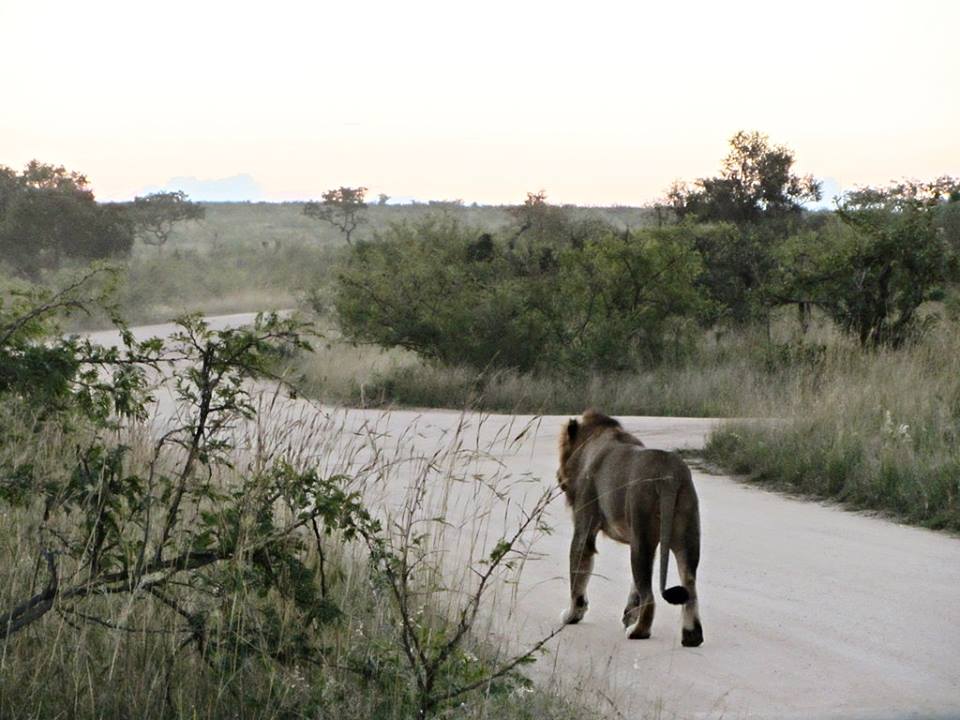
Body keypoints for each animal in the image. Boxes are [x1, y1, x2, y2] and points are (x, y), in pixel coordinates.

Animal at [557, 410, 703, 647]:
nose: (558, 477)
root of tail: (669, 475)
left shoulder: (584, 526)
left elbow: (577, 575)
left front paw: (571, 616)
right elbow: (634, 589)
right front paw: (629, 614)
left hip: (640, 535)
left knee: (650, 597)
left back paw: (637, 632)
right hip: (685, 536)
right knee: (689, 584)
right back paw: (691, 636)